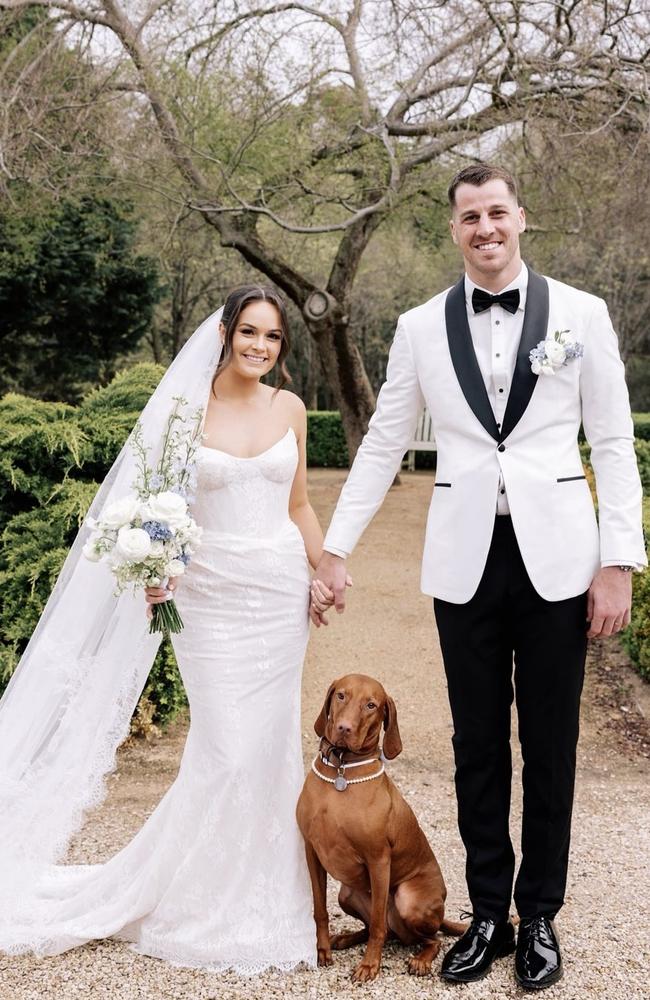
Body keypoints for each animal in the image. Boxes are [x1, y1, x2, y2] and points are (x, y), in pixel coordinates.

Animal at [296, 676, 464, 980]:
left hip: (409, 901)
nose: (344, 728)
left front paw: (369, 965)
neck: (341, 772)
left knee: (427, 938)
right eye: (341, 695)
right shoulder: (311, 851)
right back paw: (345, 938)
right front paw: (322, 950)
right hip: (347, 894)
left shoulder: (378, 860)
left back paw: (421, 960)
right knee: (388, 930)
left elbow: (377, 926)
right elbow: (320, 909)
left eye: (371, 705)